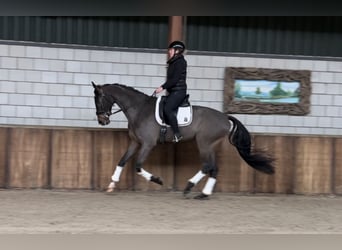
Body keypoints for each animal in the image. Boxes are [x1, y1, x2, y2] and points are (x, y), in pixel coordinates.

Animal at [91, 81, 276, 199]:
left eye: (99, 99)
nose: (102, 121)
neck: (139, 109)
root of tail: (225, 117)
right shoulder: (135, 142)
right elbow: (122, 161)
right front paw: (112, 184)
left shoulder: (147, 144)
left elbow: (137, 166)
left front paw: (157, 180)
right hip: (209, 145)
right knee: (214, 168)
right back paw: (203, 194)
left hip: (204, 143)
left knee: (207, 166)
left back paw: (189, 187)